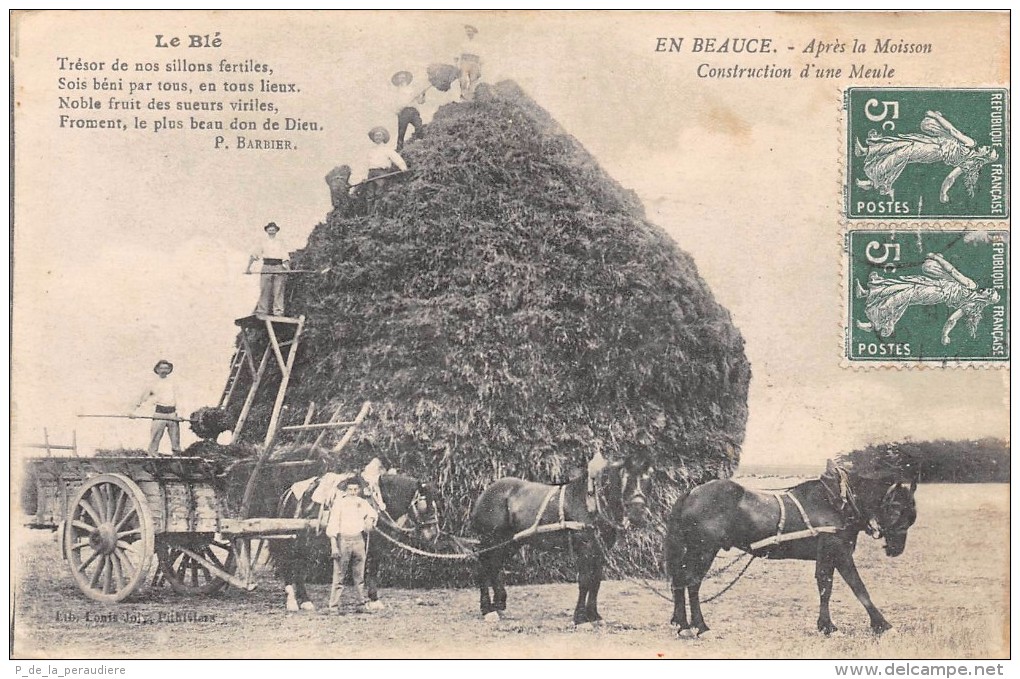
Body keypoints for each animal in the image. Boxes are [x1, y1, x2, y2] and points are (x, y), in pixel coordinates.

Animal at [269, 471, 440, 607]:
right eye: (424, 505)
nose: (434, 533)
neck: (378, 502)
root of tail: (288, 493)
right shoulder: (375, 545)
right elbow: (373, 570)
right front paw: (374, 599)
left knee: (297, 565)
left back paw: (302, 599)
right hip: (295, 540)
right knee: (289, 564)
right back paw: (295, 600)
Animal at [469, 454, 652, 623]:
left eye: (647, 479)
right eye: (624, 479)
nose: (638, 514)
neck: (591, 501)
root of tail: (485, 493)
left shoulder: (599, 550)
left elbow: (596, 581)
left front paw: (594, 615)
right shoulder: (585, 547)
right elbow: (585, 580)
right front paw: (580, 618)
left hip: (510, 542)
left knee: (494, 566)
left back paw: (498, 605)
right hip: (491, 539)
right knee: (483, 568)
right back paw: (487, 609)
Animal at [665, 460, 922, 636]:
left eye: (911, 515)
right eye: (896, 508)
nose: (896, 549)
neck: (838, 502)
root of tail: (691, 493)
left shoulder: (829, 554)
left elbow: (826, 586)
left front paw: (827, 626)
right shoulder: (837, 550)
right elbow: (857, 587)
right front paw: (881, 625)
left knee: (679, 579)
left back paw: (682, 624)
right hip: (704, 549)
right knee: (692, 582)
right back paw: (700, 626)